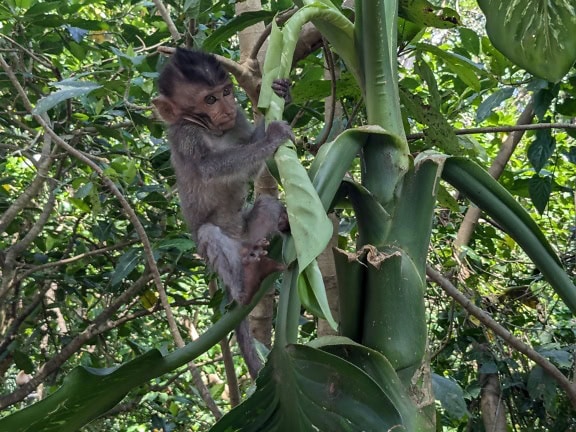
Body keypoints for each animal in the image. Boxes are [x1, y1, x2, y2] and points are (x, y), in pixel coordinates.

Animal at [153, 48, 292, 378]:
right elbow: (210, 168)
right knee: (209, 233)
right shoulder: (186, 135)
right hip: (224, 255)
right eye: (210, 99)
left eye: (227, 92)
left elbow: (252, 165)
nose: (228, 106)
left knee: (267, 205)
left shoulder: (237, 121)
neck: (212, 130)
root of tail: (243, 247)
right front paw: (272, 136)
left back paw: (281, 224)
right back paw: (246, 288)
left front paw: (281, 94)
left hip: (252, 235)